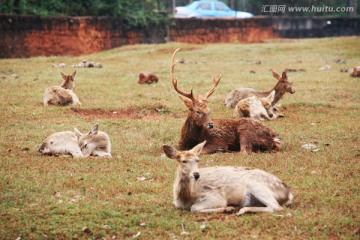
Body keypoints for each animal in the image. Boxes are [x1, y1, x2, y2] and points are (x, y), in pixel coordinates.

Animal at [162, 140, 292, 215]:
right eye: (183, 161)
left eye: (197, 160)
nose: (196, 174)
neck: (185, 197)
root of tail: (288, 194)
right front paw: (228, 209)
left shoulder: (214, 196)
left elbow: (195, 208)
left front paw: (227, 208)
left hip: (256, 184)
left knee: (276, 206)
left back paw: (241, 210)